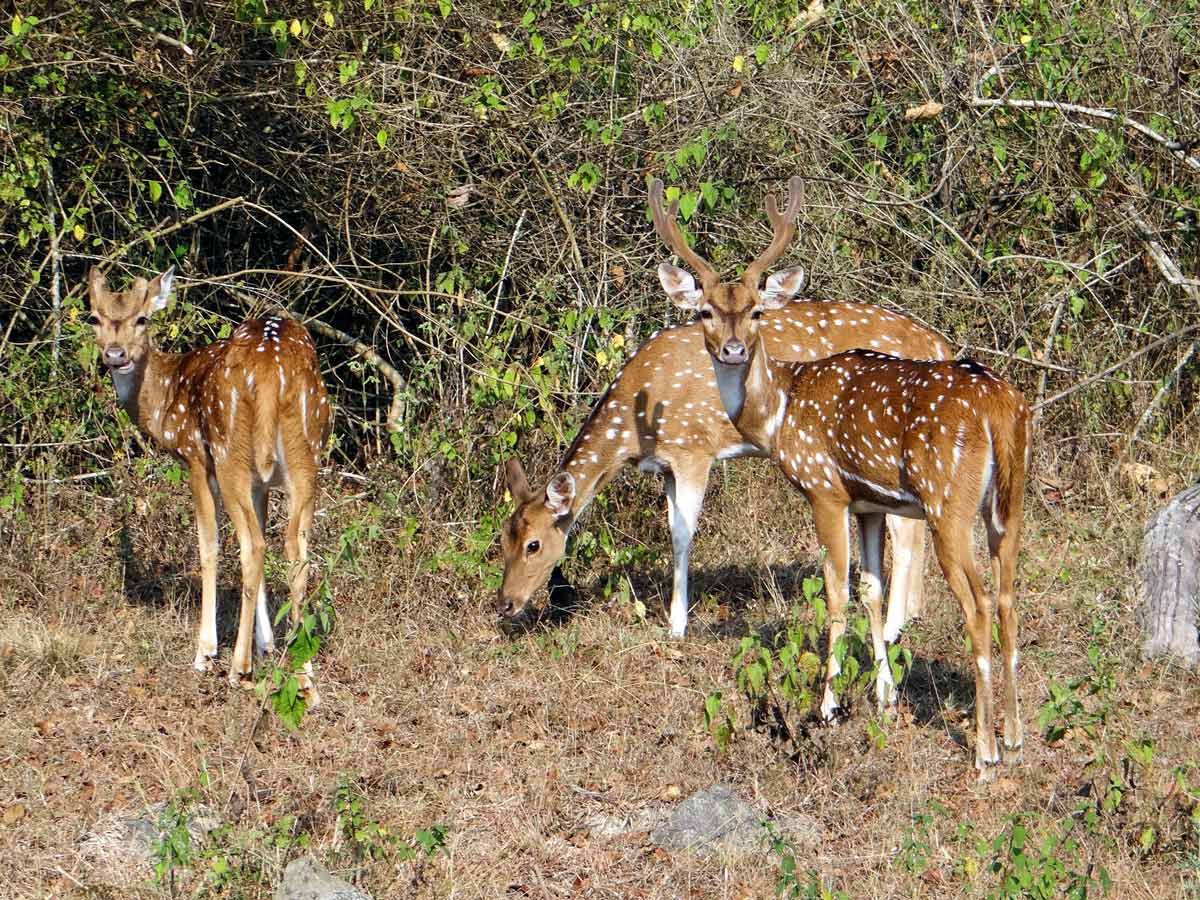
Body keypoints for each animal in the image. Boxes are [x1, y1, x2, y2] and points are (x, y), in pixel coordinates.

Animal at [87, 266, 333, 705]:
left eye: (142, 319)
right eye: (94, 318)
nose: (115, 355)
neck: (162, 405)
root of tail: (271, 372)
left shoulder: (195, 458)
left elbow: (208, 545)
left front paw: (206, 651)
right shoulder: (261, 483)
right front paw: (266, 643)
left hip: (228, 451)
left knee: (253, 546)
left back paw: (238, 669)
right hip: (307, 452)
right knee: (294, 550)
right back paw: (304, 677)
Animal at [492, 190, 950, 643]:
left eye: (534, 544)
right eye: (502, 539)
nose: (505, 603)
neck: (635, 424)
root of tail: (938, 344)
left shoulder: (694, 449)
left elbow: (681, 533)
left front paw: (677, 624)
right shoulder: (666, 467)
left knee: (906, 530)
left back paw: (892, 628)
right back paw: (909, 616)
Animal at [657, 176, 1032, 777]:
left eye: (757, 311)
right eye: (707, 312)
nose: (733, 350)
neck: (780, 411)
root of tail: (999, 406)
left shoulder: (825, 490)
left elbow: (836, 593)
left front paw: (828, 705)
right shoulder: (871, 503)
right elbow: (873, 590)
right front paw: (885, 697)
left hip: (948, 501)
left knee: (975, 604)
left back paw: (986, 749)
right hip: (1010, 502)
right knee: (1007, 597)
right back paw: (1016, 735)